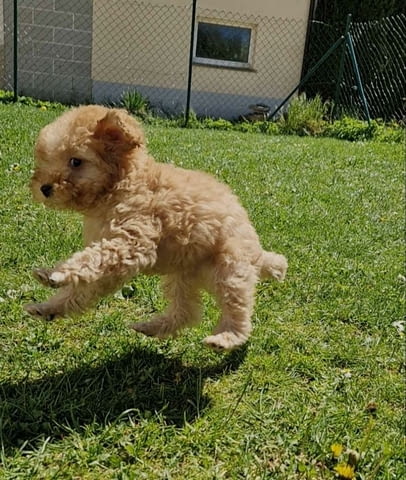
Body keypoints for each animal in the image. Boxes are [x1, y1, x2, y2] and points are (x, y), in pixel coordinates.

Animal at [23, 107, 288, 350]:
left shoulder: (133, 242)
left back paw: (225, 338)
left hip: (229, 268)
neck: (121, 185)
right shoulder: (114, 264)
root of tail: (256, 250)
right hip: (183, 276)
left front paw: (58, 273)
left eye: (76, 161)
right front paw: (47, 306)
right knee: (186, 312)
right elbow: (83, 286)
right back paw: (151, 327)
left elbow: (91, 258)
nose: (44, 188)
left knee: (238, 308)